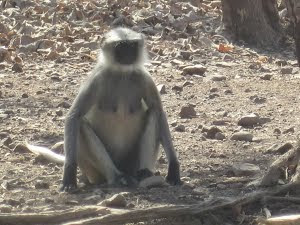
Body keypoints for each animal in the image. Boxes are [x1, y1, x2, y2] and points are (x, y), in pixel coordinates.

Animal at [27, 27, 180, 191]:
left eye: (132, 46)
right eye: (121, 46)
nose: (128, 54)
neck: (121, 73)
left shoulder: (145, 78)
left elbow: (159, 112)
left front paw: (174, 167)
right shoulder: (96, 79)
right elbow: (74, 116)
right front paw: (69, 176)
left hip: (132, 163)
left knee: (153, 113)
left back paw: (144, 173)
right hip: (92, 171)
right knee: (81, 125)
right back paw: (117, 177)